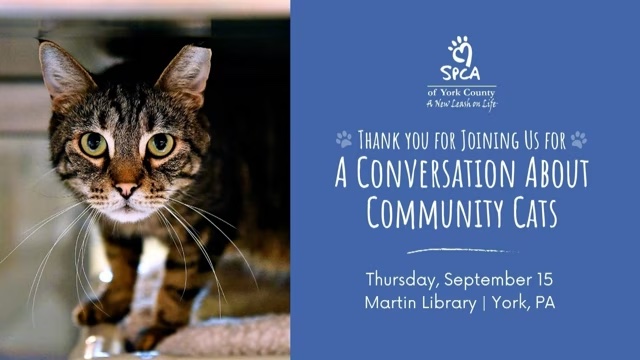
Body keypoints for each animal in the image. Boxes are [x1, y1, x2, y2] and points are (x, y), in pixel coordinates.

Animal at [38, 40, 288, 352]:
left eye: (161, 143)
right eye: (93, 142)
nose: (126, 187)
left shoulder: (206, 227)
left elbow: (178, 283)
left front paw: (161, 330)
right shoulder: (111, 226)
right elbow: (119, 264)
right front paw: (112, 305)